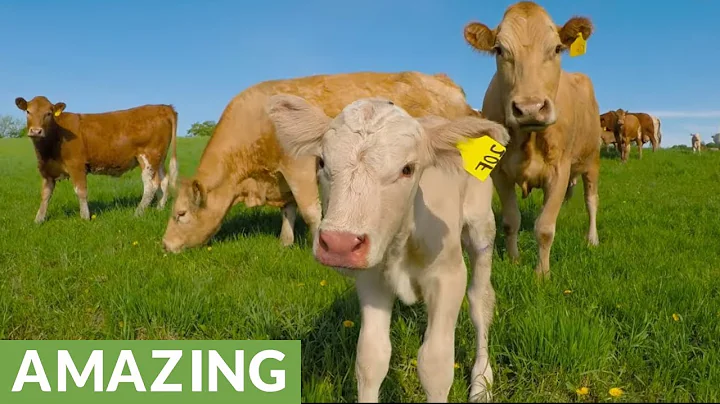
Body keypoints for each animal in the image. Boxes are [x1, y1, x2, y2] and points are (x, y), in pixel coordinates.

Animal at [15, 96, 178, 223]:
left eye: (48, 113)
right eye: (28, 112)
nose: (36, 131)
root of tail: (163, 107)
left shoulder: (77, 165)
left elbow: (81, 191)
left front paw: (85, 217)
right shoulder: (47, 170)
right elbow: (45, 194)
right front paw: (39, 219)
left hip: (148, 156)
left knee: (151, 185)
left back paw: (138, 213)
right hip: (159, 158)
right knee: (164, 181)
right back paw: (159, 208)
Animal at [161, 71, 485, 253]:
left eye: (180, 214)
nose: (164, 245)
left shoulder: (300, 165)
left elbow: (309, 211)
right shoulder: (282, 176)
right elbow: (289, 211)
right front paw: (285, 242)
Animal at [266, 94, 510, 403]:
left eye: (407, 169)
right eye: (321, 162)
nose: (339, 243)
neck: (399, 244)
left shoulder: (448, 277)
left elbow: (436, 365)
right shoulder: (371, 280)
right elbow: (371, 358)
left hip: (481, 227)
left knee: (481, 301)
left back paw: (481, 382)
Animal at [463, 1, 601, 278]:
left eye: (557, 48)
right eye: (499, 50)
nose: (530, 108)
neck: (529, 138)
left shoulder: (560, 170)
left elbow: (545, 227)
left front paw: (542, 273)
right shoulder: (500, 172)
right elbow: (510, 221)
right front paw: (514, 260)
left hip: (592, 159)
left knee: (591, 201)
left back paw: (592, 239)